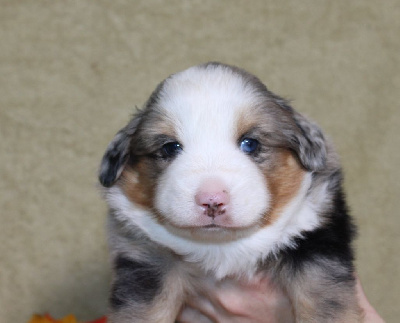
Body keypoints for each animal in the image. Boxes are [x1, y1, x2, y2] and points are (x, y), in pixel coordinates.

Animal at [100, 62, 362, 322]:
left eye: (250, 143)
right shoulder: (147, 261)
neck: (223, 249)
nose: (212, 200)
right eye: (170, 147)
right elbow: (146, 309)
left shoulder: (316, 242)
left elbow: (325, 300)